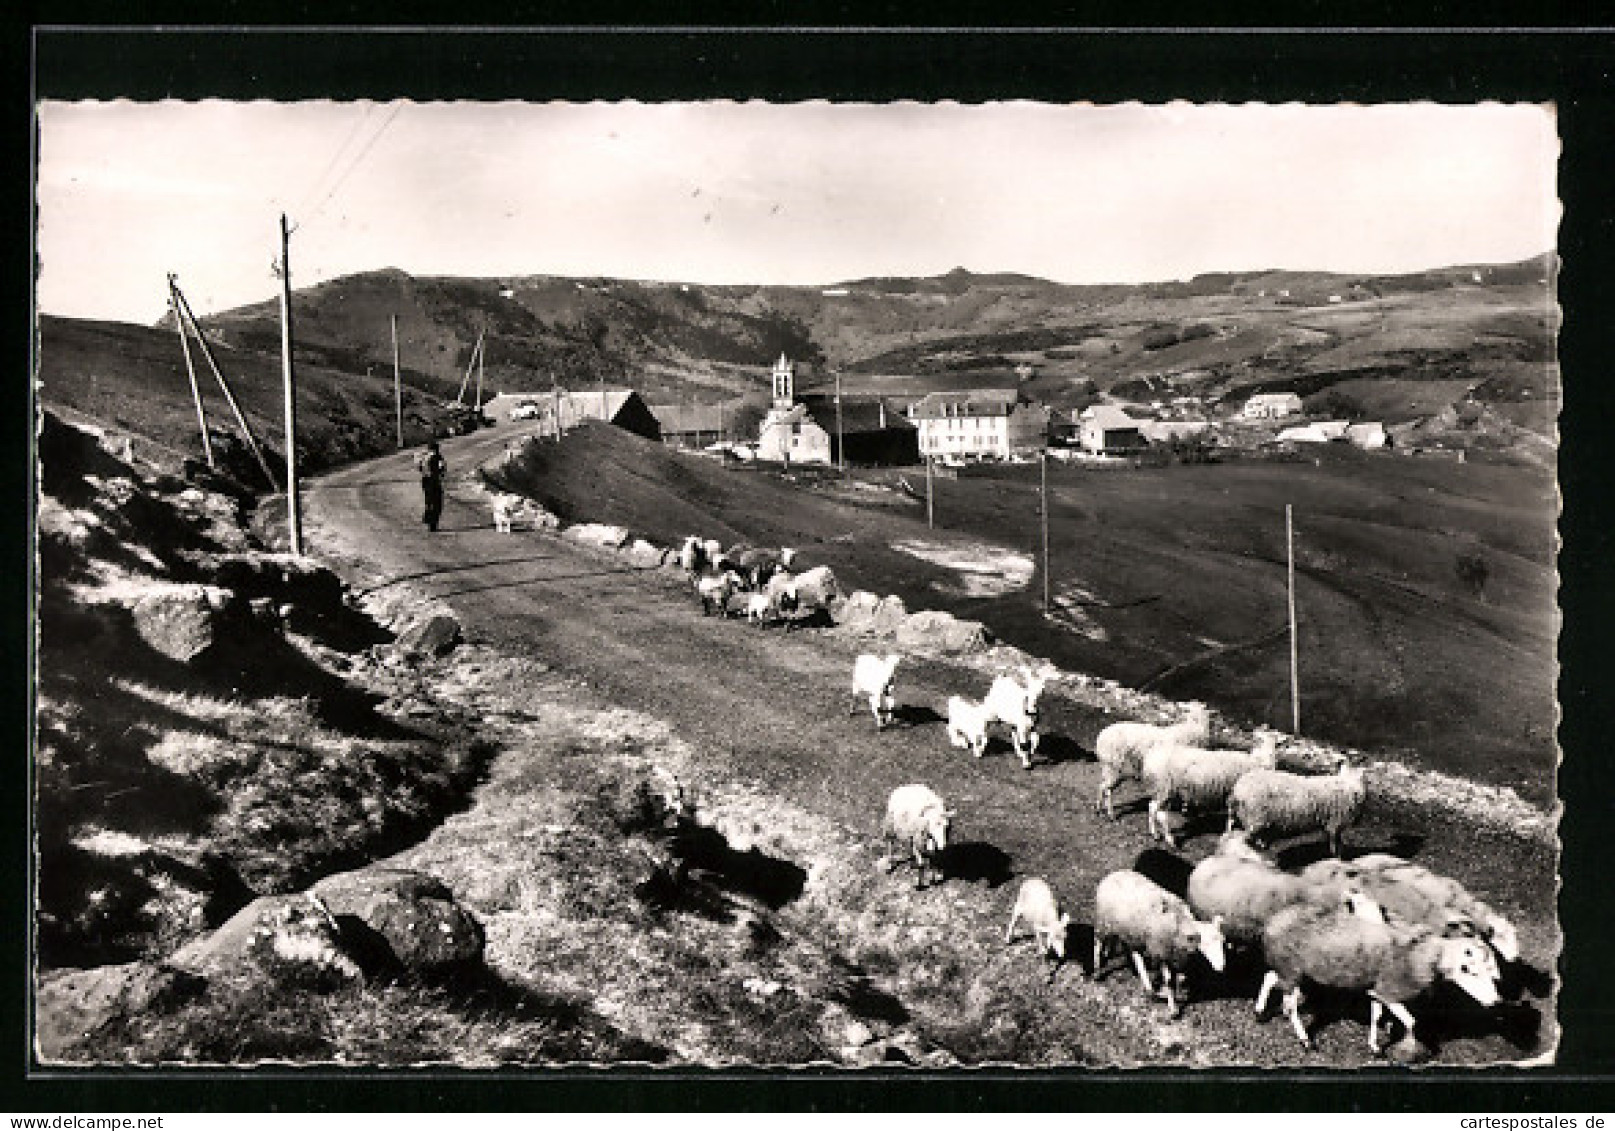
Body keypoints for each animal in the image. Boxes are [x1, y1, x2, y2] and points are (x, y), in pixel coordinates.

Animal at [1091, 866, 1227, 1014]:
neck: (1180, 923)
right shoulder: (1161, 951)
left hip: (1130, 931)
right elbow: (1168, 980)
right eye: (1205, 943)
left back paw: (1146, 985)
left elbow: (1177, 978)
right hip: (1103, 923)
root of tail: (1114, 874)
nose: (1221, 966)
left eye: (1222, 941)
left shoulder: (1173, 954)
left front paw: (1167, 994)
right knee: (1098, 943)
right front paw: (1172, 1008)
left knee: (1133, 952)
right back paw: (1097, 970)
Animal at [1143, 733, 1279, 846]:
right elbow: (1232, 816)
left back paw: (1159, 835)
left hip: (1165, 790)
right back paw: (1164, 837)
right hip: (1163, 787)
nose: (1271, 758)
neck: (1257, 762)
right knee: (1155, 809)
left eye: (1275, 743)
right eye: (1262, 740)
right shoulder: (1234, 795)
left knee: (1157, 811)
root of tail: (1150, 758)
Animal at [1227, 759, 1369, 859]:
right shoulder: (1335, 822)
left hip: (1250, 818)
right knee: (1247, 839)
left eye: (1363, 779)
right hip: (1257, 817)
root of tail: (1238, 790)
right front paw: (1338, 857)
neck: (1348, 785)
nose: (1358, 792)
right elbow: (1335, 843)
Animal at [1253, 891, 1505, 1059]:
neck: (1425, 956)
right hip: (1292, 967)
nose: (1496, 1002)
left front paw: (1375, 1046)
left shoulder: (1378, 989)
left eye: (1491, 972)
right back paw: (1304, 1039)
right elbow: (1411, 1022)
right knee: (1290, 1002)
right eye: (1470, 970)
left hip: (1291, 969)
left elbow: (1376, 1015)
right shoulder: (1391, 991)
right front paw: (1409, 1049)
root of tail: (1274, 920)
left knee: (1269, 977)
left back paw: (1260, 1011)